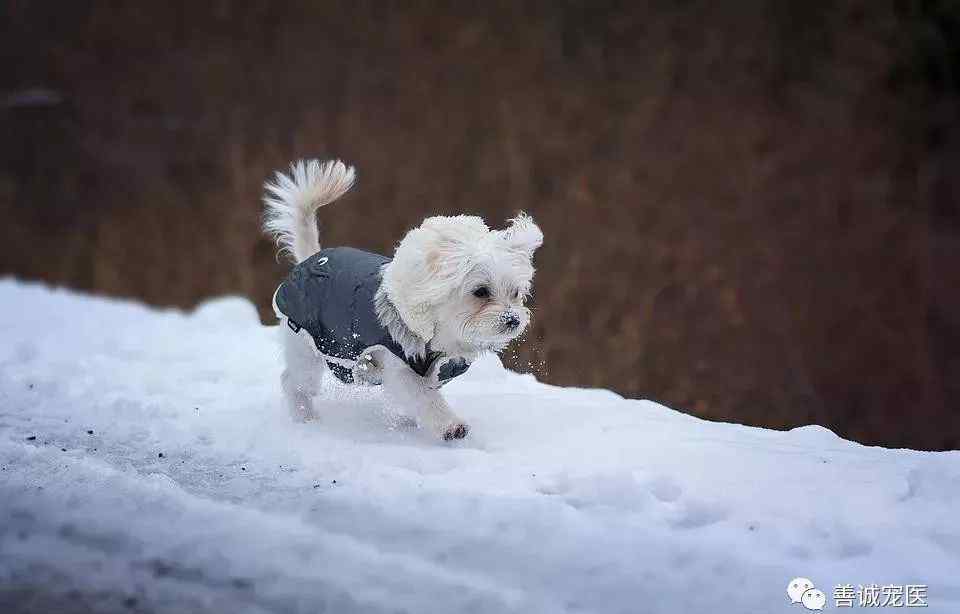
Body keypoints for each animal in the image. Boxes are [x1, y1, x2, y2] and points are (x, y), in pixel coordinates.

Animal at [262, 159, 544, 438]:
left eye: (516, 293)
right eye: (481, 292)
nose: (513, 320)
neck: (441, 333)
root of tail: (310, 259)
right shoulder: (399, 367)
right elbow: (424, 398)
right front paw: (450, 425)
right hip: (306, 347)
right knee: (293, 382)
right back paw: (305, 417)